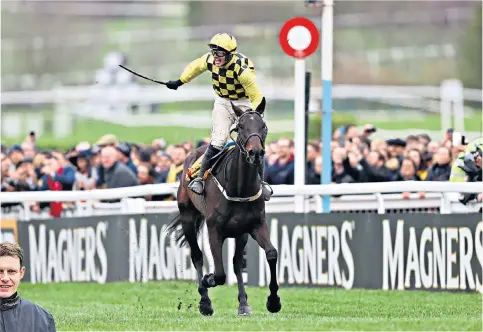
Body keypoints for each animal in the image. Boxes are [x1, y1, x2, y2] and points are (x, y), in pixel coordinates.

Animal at [166, 99, 282, 316]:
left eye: (263, 127)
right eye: (241, 127)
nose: (255, 153)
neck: (239, 187)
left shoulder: (255, 225)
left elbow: (271, 253)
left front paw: (273, 301)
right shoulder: (214, 229)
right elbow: (219, 273)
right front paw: (207, 280)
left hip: (240, 233)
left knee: (236, 263)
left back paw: (243, 304)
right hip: (187, 216)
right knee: (197, 256)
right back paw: (205, 301)